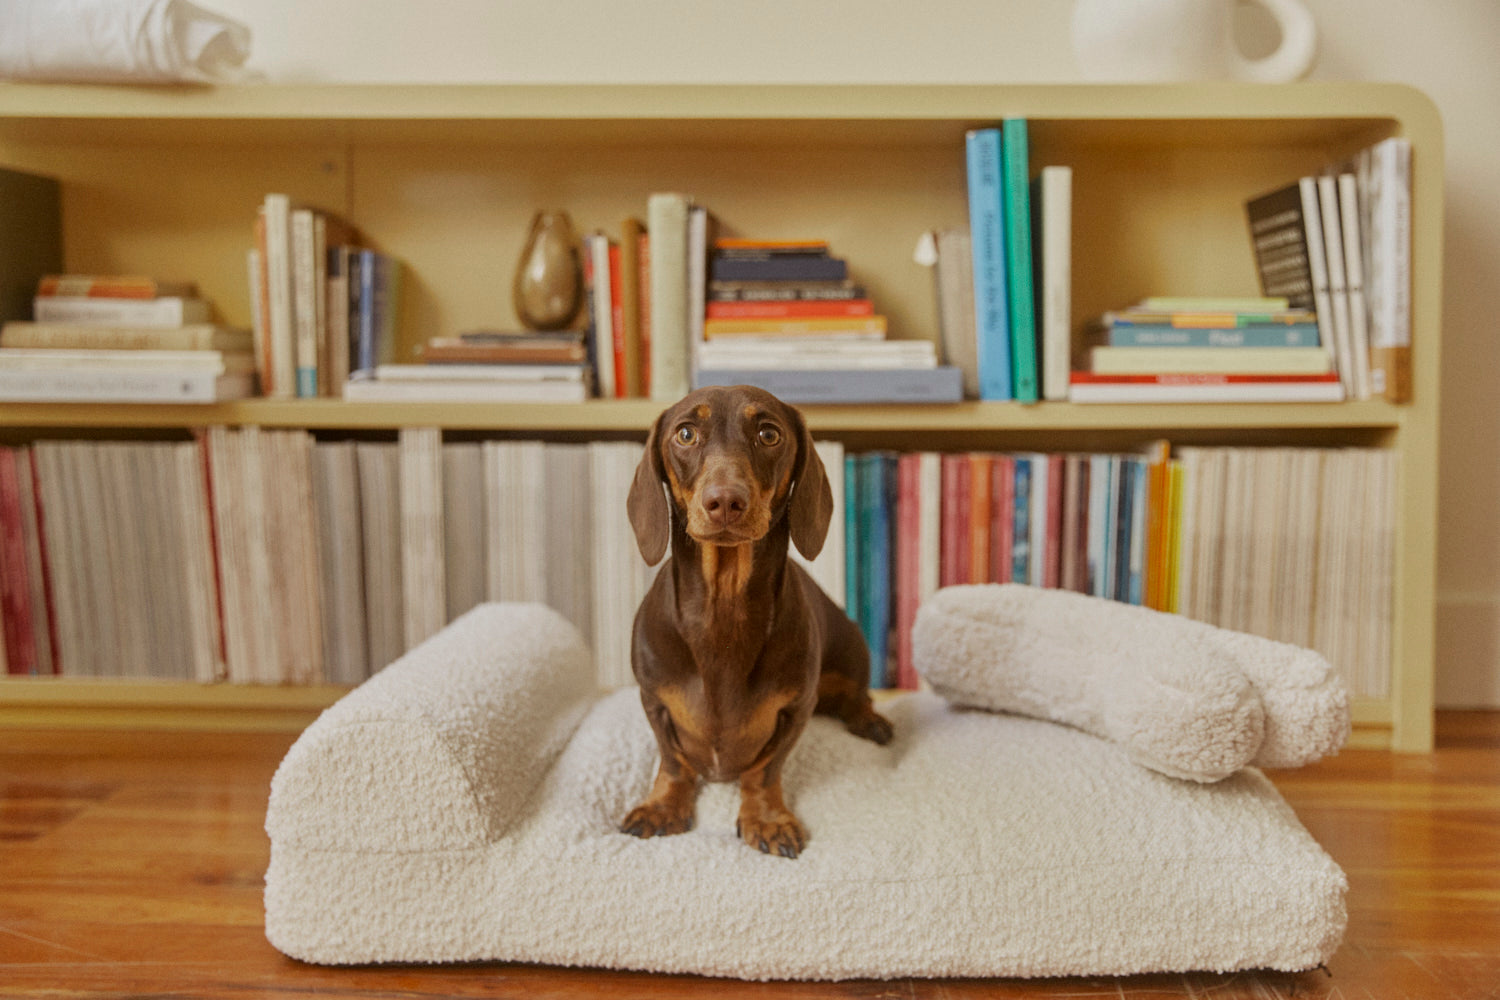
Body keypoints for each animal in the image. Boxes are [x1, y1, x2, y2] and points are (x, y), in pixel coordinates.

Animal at [621, 386, 888, 857]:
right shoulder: (653, 700)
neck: (723, 608)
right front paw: (662, 806)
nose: (725, 501)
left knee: (857, 694)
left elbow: (763, 770)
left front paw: (766, 818)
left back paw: (868, 717)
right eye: (685, 434)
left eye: (769, 434)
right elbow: (673, 761)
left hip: (852, 652)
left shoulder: (796, 709)